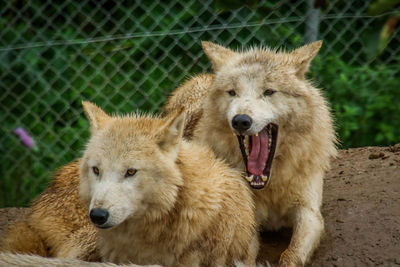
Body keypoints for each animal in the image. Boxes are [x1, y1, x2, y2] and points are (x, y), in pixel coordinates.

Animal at [166, 40, 338, 266]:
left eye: (269, 92)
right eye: (232, 92)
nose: (240, 120)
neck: (271, 184)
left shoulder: (309, 213)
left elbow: (291, 255)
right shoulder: (245, 222)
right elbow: (245, 257)